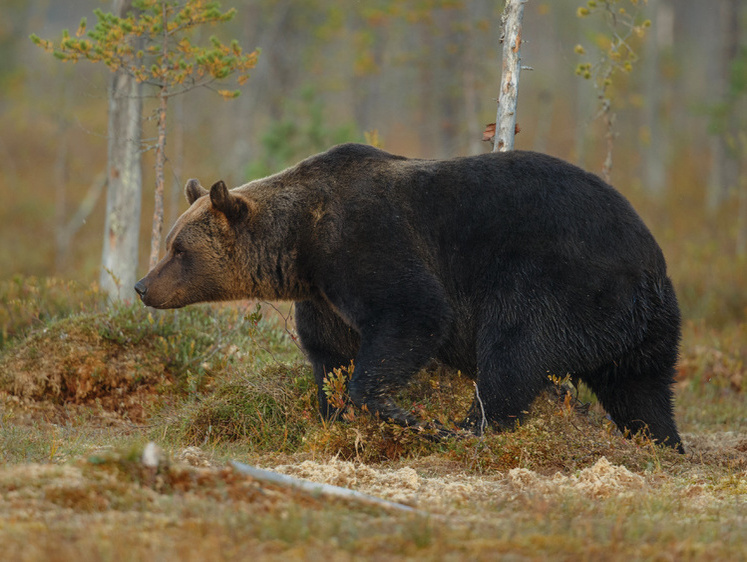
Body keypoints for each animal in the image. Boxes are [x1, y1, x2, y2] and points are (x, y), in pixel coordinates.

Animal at [134, 143, 684, 450]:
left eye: (179, 249)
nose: (142, 286)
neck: (300, 246)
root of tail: (649, 266)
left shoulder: (367, 242)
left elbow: (414, 314)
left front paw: (401, 414)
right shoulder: (323, 297)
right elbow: (329, 355)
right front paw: (334, 415)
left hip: (557, 280)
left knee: (514, 351)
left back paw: (468, 428)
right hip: (643, 327)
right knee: (642, 390)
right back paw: (662, 444)